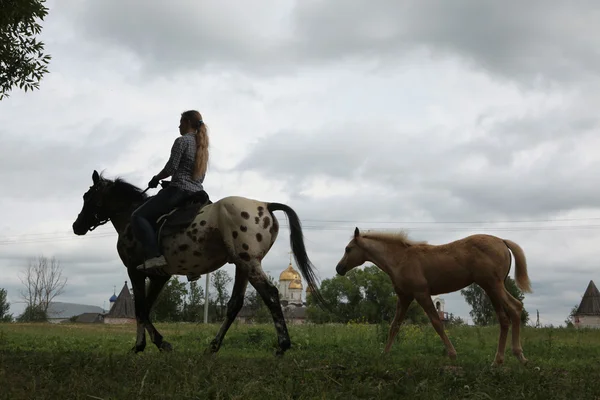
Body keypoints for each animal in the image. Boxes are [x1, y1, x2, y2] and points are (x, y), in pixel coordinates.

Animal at [75, 170, 328, 354]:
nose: (76, 226)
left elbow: (140, 309)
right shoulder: (159, 276)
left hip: (249, 263)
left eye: (88, 197)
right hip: (243, 265)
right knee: (235, 304)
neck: (131, 216)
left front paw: (153, 344)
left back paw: (282, 346)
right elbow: (144, 308)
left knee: (271, 294)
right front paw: (143, 345)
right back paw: (213, 346)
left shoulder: (135, 271)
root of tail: (265, 205)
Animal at [336, 228, 532, 366]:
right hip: (494, 287)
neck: (400, 259)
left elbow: (436, 322)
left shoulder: (421, 293)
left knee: (513, 309)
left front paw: (453, 355)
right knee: (508, 315)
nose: (339, 268)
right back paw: (507, 359)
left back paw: (513, 358)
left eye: (348, 248)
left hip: (492, 285)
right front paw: (384, 355)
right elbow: (394, 326)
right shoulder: (405, 297)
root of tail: (502, 241)